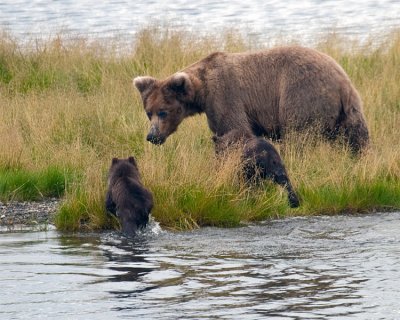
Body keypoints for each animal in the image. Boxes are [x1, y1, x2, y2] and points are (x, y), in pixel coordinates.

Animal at [134, 45, 368, 154]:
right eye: (148, 112)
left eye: (163, 111)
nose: (151, 136)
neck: (202, 91)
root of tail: (340, 82)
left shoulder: (225, 97)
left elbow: (234, 131)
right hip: (350, 108)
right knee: (358, 137)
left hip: (302, 95)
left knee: (298, 136)